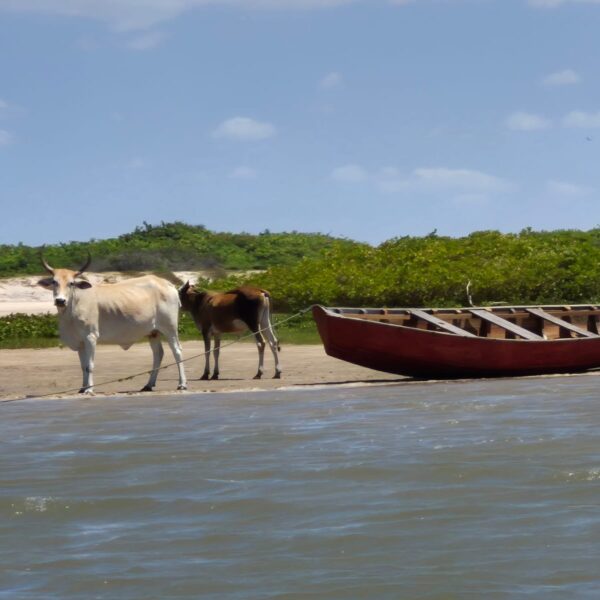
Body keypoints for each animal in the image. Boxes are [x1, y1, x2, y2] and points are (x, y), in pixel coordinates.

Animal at [38, 254, 187, 394]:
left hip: (170, 328)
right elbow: (83, 366)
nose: (60, 301)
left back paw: (182, 384)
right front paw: (82, 388)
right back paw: (148, 385)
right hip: (153, 332)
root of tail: (168, 284)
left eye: (71, 283)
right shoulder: (80, 342)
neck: (73, 306)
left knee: (177, 351)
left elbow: (89, 365)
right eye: (54, 282)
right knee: (158, 354)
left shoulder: (90, 337)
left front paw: (89, 389)